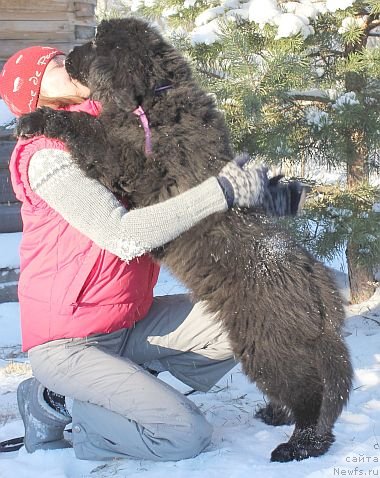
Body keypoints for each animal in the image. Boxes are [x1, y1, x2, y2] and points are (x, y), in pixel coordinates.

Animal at [18, 18, 354, 464]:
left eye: (95, 44)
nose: (68, 56)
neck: (151, 103)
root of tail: (322, 291)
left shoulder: (144, 174)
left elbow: (94, 133)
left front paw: (38, 119)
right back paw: (276, 416)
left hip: (269, 346)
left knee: (312, 397)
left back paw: (299, 443)